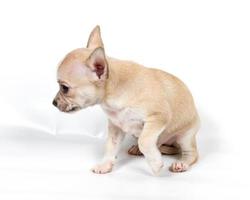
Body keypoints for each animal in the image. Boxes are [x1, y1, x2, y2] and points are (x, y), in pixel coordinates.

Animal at [52, 25, 199, 175]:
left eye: (64, 88)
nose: (53, 103)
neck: (112, 96)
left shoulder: (159, 116)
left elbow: (144, 140)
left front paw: (155, 164)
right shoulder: (116, 127)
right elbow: (111, 147)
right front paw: (105, 165)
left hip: (185, 137)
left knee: (191, 154)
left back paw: (181, 164)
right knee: (159, 144)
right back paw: (140, 150)